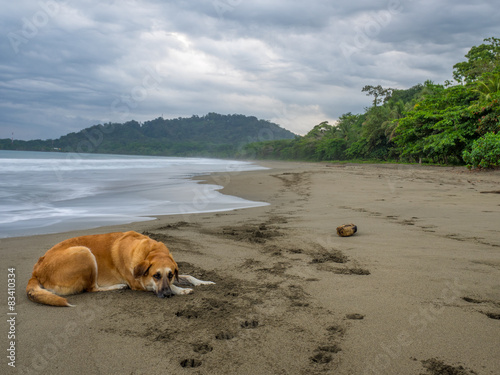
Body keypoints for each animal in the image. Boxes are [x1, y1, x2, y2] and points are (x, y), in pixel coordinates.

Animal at [25, 231, 213, 306]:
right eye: (156, 276)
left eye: (171, 274)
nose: (166, 295)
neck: (150, 251)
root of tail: (36, 269)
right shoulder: (140, 285)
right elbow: (171, 286)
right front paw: (181, 290)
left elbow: (188, 276)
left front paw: (204, 282)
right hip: (85, 253)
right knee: (91, 288)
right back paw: (118, 286)